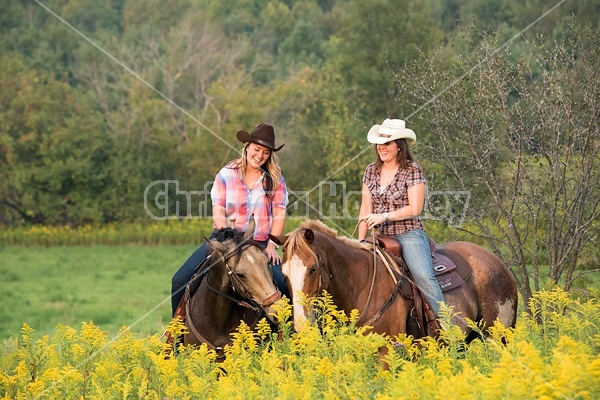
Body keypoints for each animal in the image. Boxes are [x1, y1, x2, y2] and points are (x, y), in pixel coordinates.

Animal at [274, 220, 520, 342]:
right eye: (284, 273)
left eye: (313, 269)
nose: (301, 325)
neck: (362, 283)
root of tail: (497, 262)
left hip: (497, 337)